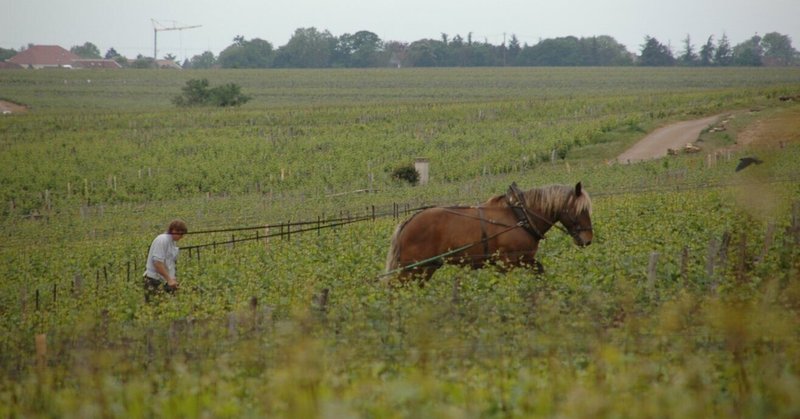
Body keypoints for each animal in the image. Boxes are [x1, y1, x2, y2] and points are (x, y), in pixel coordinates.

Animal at [384, 183, 592, 282]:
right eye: (581, 210)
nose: (588, 239)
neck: (520, 216)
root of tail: (408, 221)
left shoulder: (525, 258)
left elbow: (539, 271)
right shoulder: (508, 261)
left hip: (427, 267)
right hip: (413, 267)